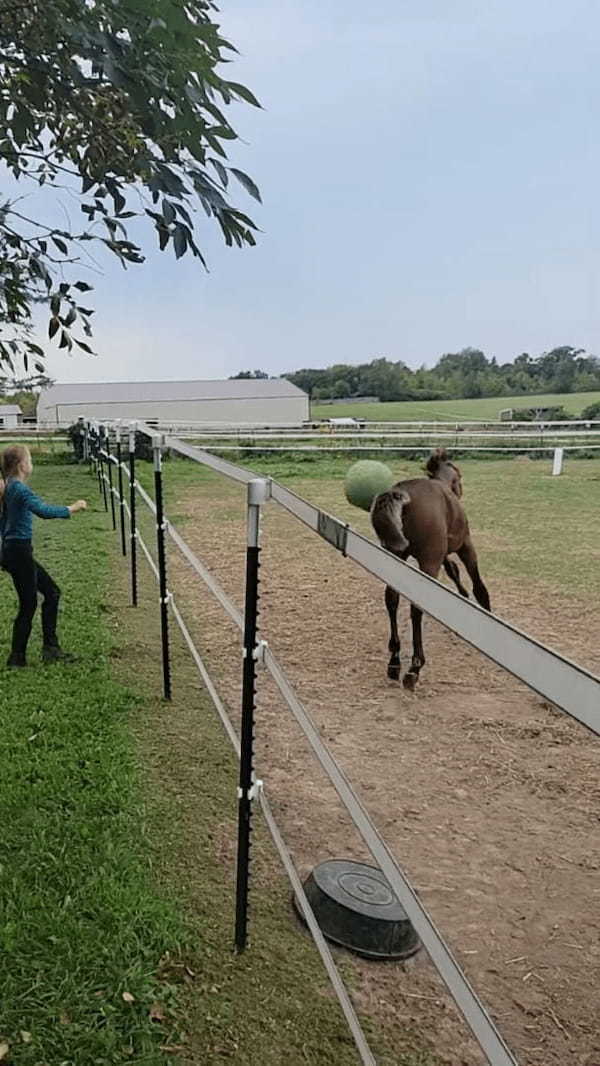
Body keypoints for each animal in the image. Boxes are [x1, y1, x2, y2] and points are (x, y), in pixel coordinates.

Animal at [370, 449, 492, 690]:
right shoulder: (464, 546)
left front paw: (462, 598)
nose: (460, 491)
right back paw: (414, 668)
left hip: (395, 557)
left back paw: (394, 662)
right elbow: (477, 583)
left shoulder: (442, 555)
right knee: (416, 608)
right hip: (427, 563)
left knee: (391, 599)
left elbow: (454, 571)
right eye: (459, 476)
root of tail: (403, 495)